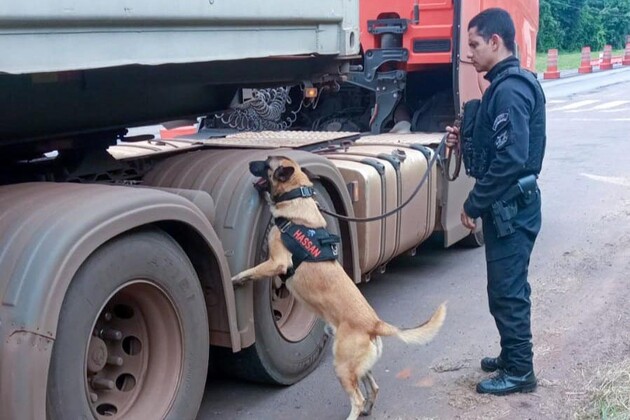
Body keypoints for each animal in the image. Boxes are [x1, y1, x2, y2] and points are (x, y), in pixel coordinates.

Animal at [233, 156, 450, 418]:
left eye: (266, 164)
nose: (248, 163)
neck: (297, 199)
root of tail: (374, 324)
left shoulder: (277, 262)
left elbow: (253, 270)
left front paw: (237, 278)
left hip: (343, 367)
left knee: (357, 398)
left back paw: (356, 412)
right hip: (358, 367)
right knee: (373, 388)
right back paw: (368, 408)